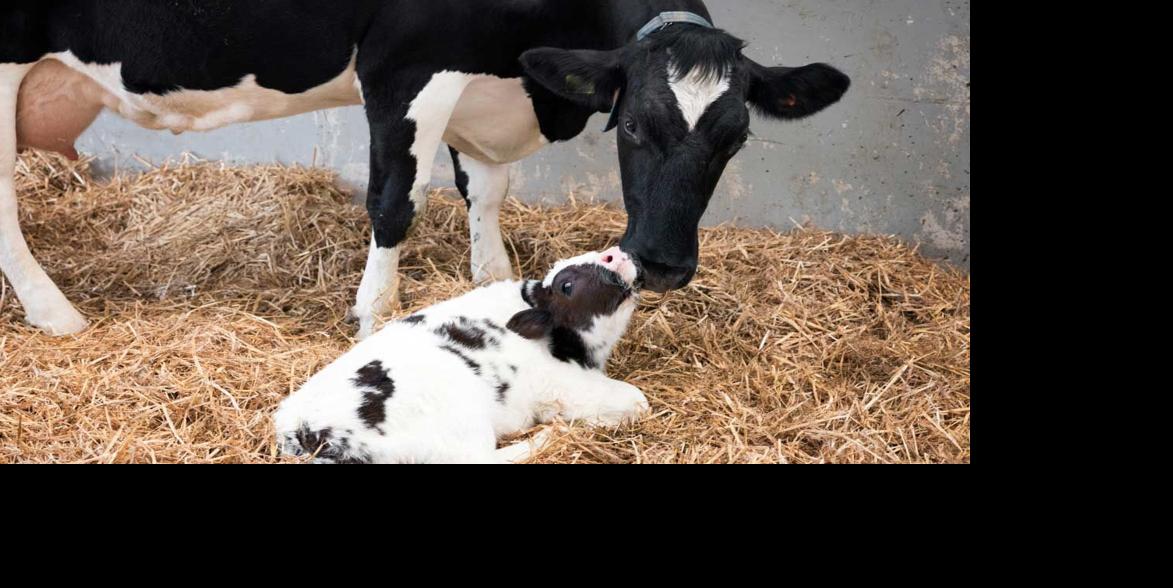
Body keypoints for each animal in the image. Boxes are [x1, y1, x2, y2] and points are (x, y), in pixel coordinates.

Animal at [2, 1, 850, 338]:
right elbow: (393, 202)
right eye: (636, 125)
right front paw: (375, 314)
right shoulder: (405, 68)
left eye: (735, 138)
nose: (667, 265)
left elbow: (486, 192)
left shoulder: (480, 81)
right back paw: (56, 314)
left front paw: (491, 283)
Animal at [275, 247, 646, 464]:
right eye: (566, 285)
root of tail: (307, 430)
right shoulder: (565, 387)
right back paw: (547, 436)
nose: (615, 253)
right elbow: (636, 401)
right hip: (462, 428)